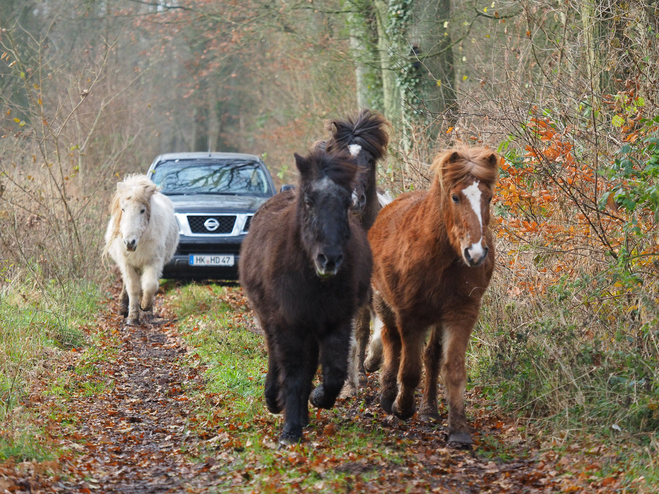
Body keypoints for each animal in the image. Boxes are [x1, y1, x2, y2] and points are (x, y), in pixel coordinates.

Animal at [104, 176, 179, 326]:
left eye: (142, 210)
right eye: (123, 209)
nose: (129, 243)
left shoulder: (153, 262)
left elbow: (149, 286)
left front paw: (145, 306)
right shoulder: (127, 264)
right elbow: (133, 287)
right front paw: (132, 317)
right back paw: (123, 307)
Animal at [238, 148, 374, 444]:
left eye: (346, 203)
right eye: (310, 202)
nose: (329, 259)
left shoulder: (336, 322)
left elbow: (333, 373)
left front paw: (318, 398)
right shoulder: (288, 323)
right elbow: (293, 374)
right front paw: (290, 429)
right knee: (276, 356)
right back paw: (274, 399)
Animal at [368, 149, 498, 446]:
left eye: (488, 198)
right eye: (455, 197)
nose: (476, 253)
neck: (441, 257)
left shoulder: (462, 314)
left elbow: (453, 368)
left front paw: (458, 429)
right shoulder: (410, 315)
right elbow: (410, 369)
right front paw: (402, 407)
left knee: (432, 355)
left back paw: (429, 409)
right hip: (384, 302)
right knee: (391, 340)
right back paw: (388, 394)